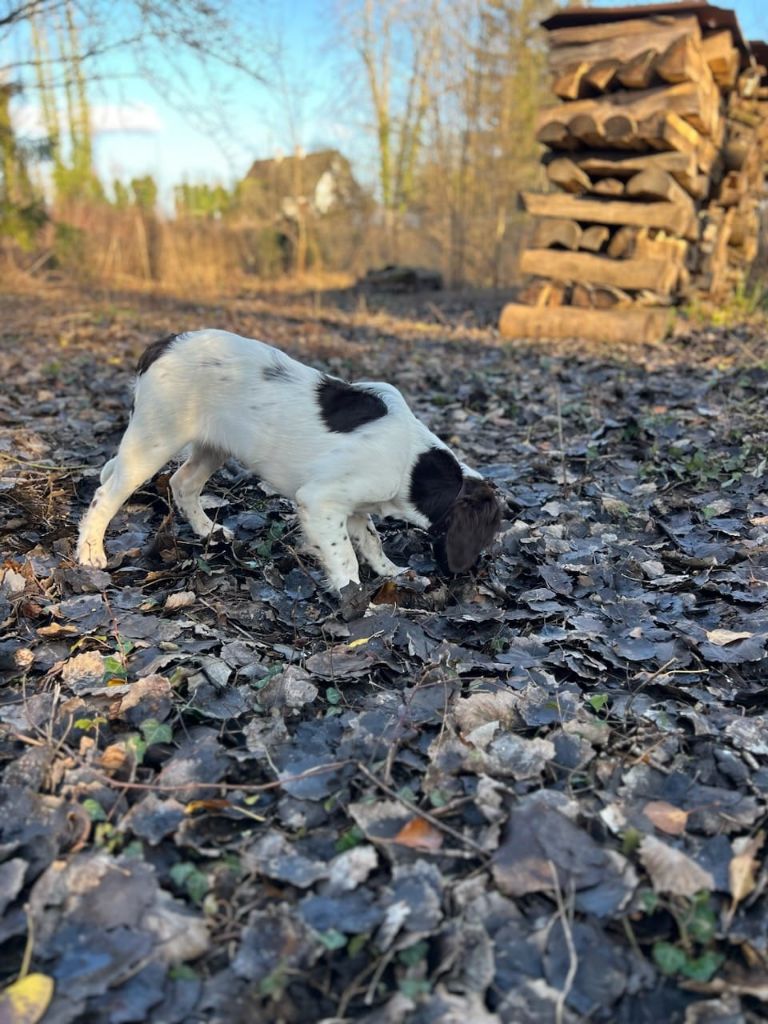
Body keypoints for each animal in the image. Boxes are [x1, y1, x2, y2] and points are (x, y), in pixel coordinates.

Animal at [75, 331, 501, 589]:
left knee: (182, 483)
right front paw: (354, 597)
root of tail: (162, 345)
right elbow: (344, 556)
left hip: (214, 445)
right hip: (154, 440)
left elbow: (371, 540)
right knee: (105, 495)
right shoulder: (320, 500)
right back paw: (90, 553)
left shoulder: (354, 507)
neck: (413, 464)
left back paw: (209, 532)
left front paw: (390, 572)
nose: (476, 573)